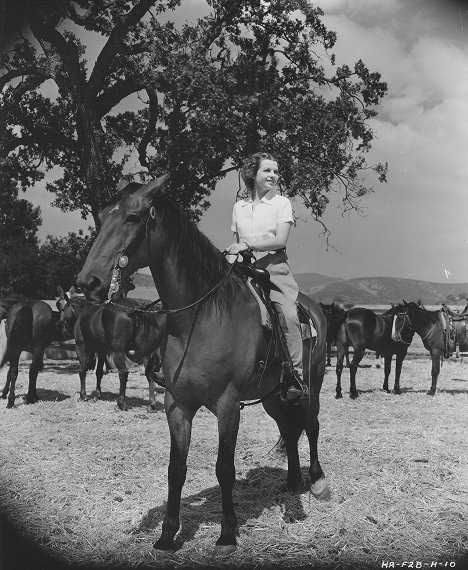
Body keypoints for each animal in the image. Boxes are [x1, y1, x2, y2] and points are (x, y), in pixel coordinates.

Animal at [77, 175, 330, 552]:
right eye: (104, 215)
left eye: (133, 217)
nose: (88, 281)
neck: (202, 316)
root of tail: (313, 308)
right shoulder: (177, 403)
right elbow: (176, 469)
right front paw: (167, 535)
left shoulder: (228, 405)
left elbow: (224, 468)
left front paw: (227, 533)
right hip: (273, 396)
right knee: (288, 427)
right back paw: (293, 480)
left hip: (311, 385)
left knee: (311, 425)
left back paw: (317, 481)